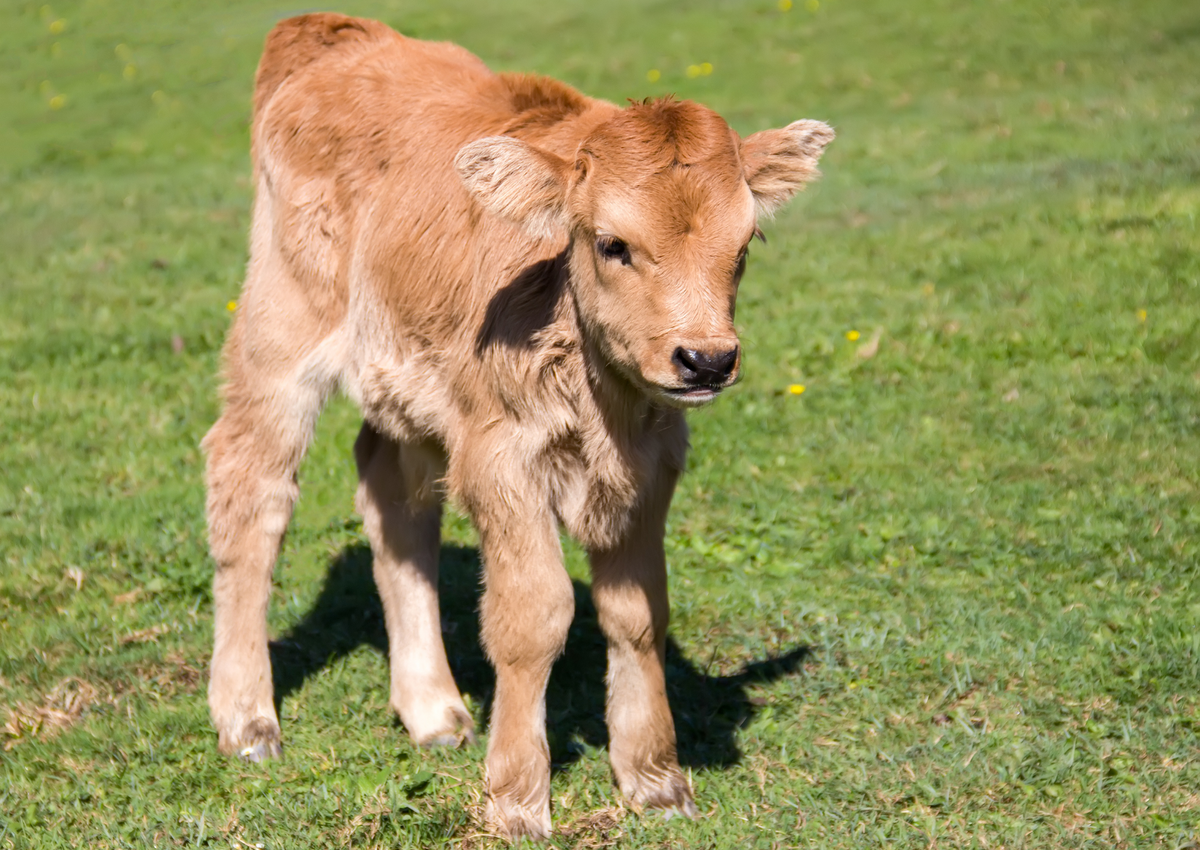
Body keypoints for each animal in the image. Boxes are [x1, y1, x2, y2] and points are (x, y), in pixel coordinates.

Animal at [202, 12, 833, 840]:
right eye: (612, 243)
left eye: (744, 245)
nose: (705, 359)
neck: (603, 404)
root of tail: (338, 34)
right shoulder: (499, 457)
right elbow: (535, 615)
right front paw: (516, 799)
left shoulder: (654, 459)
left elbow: (638, 611)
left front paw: (655, 779)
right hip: (281, 331)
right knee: (251, 487)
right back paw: (248, 720)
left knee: (392, 499)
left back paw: (432, 709)